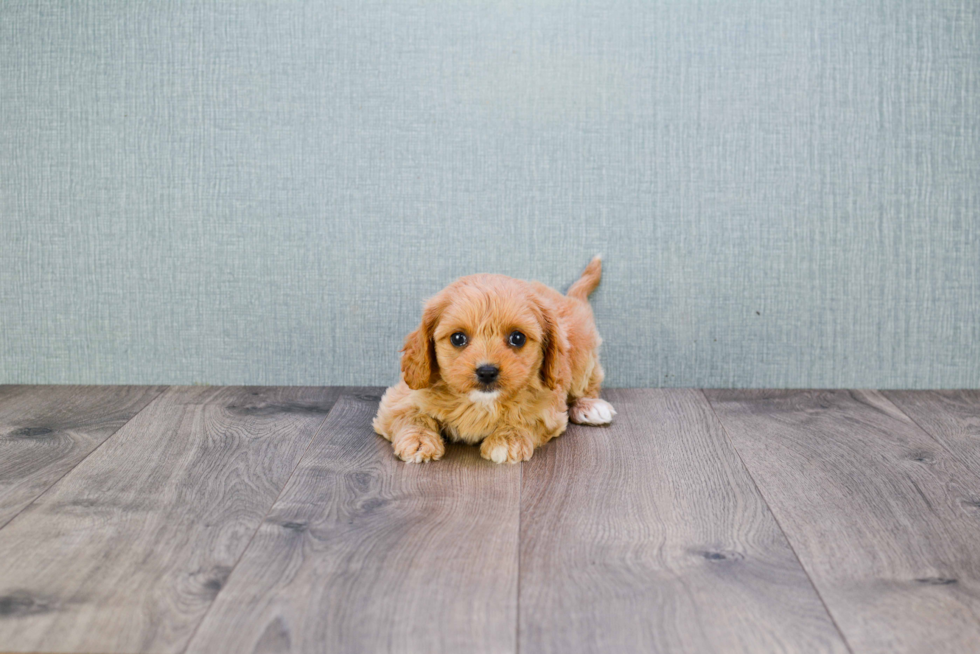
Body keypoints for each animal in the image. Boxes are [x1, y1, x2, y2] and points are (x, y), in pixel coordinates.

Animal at [374, 254, 612, 464]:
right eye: (457, 338)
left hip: (582, 357)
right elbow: (412, 415)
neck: (481, 403)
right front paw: (418, 440)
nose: (487, 371)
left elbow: (527, 418)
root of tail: (568, 298)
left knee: (588, 385)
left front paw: (507, 440)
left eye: (517, 338)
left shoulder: (549, 410)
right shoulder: (398, 400)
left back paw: (590, 407)